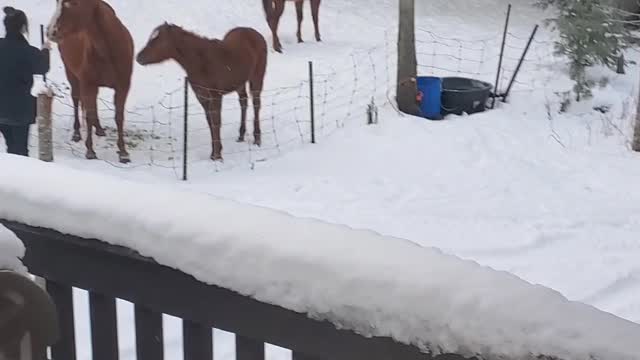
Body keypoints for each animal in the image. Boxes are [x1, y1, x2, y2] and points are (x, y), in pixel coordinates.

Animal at [47, 0, 134, 162]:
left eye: (74, 3)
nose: (50, 32)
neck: (108, 50)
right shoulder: (88, 85)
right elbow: (88, 115)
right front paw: (90, 150)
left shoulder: (123, 87)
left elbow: (119, 117)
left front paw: (123, 152)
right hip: (72, 75)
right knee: (76, 100)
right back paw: (76, 133)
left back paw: (99, 128)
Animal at [138, 23, 268, 162]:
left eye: (157, 40)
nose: (138, 57)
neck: (201, 61)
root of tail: (255, 33)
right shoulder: (202, 97)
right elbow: (210, 122)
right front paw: (214, 153)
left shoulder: (216, 96)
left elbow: (216, 122)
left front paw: (217, 156)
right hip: (240, 83)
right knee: (243, 102)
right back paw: (241, 135)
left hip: (256, 78)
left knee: (256, 104)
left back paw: (257, 139)